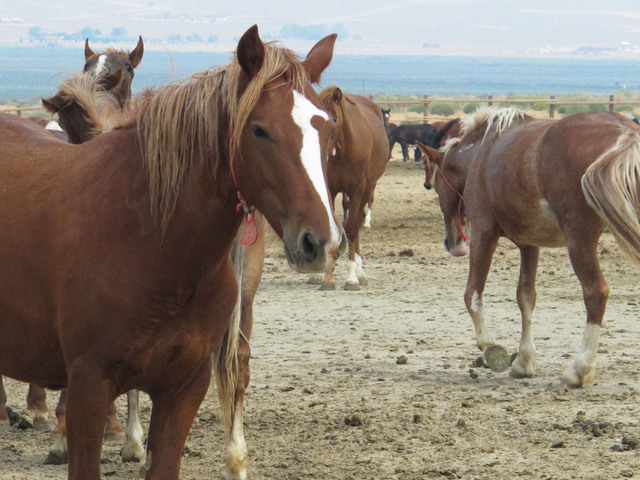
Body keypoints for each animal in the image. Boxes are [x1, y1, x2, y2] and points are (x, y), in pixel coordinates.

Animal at [315, 86, 389, 290]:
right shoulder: (330, 189)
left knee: (356, 225)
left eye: (334, 119)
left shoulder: (357, 189)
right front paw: (327, 277)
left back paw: (360, 271)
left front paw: (351, 277)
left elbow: (351, 228)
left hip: (367, 189)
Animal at [417, 107, 640, 387]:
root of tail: (627, 132)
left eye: (436, 186)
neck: (482, 151)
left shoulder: (483, 234)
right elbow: (525, 297)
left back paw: (579, 369)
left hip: (579, 239)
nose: (451, 243)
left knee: (595, 293)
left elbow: (472, 294)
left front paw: (490, 347)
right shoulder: (529, 244)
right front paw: (524, 361)